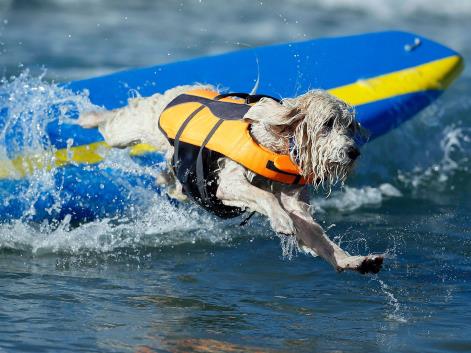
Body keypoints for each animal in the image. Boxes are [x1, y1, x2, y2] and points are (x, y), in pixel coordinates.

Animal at [79, 84, 386, 272]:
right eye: (327, 124)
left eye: (350, 125)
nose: (353, 152)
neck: (279, 145)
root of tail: (182, 91)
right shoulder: (228, 183)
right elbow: (264, 196)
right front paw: (281, 221)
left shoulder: (296, 204)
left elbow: (320, 238)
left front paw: (353, 261)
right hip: (131, 129)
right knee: (115, 120)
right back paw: (88, 115)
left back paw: (168, 182)